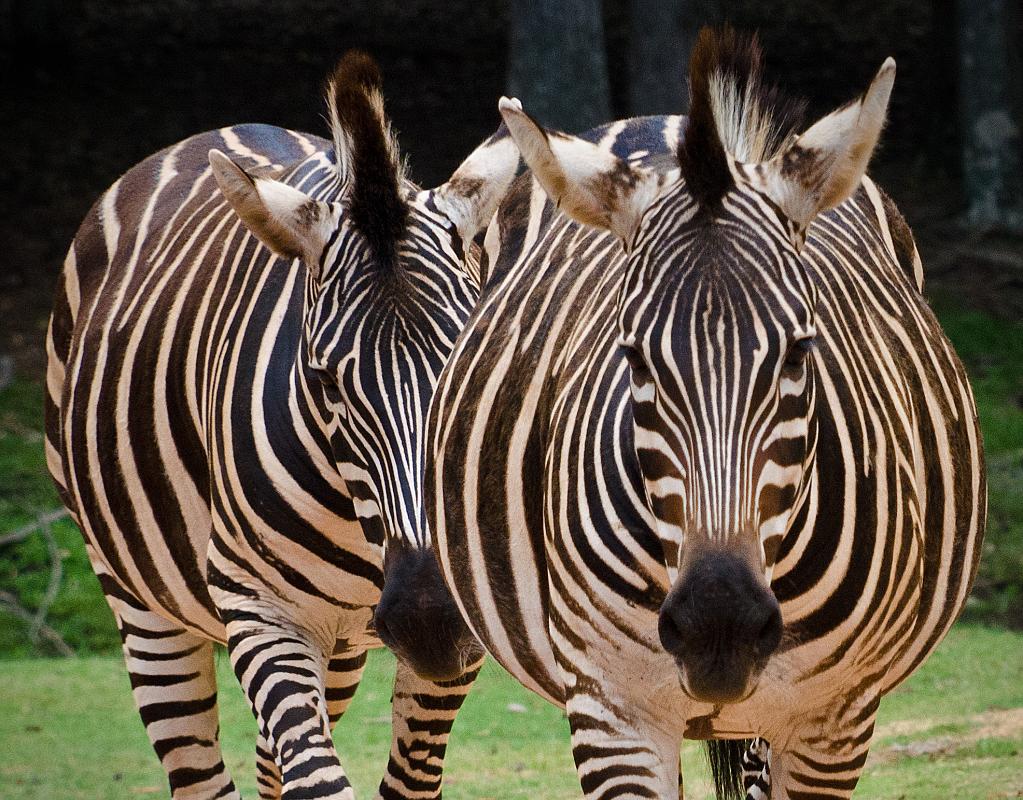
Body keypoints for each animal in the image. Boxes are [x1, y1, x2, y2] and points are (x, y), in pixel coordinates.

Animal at [45, 51, 518, 800]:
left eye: (468, 363)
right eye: (324, 381)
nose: (430, 621)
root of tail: (220, 129)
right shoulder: (258, 607)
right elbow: (318, 780)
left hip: (341, 647)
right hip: (138, 600)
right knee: (199, 771)